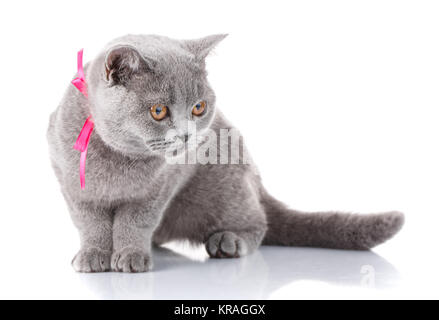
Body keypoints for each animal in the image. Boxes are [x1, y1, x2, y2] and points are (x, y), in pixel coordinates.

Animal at [47, 33, 406, 272]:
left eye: (199, 107)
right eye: (159, 111)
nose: (187, 135)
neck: (120, 157)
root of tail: (256, 180)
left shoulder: (162, 185)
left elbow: (135, 220)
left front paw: (131, 256)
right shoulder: (70, 183)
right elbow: (89, 222)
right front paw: (94, 255)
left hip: (222, 187)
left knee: (260, 222)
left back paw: (228, 241)